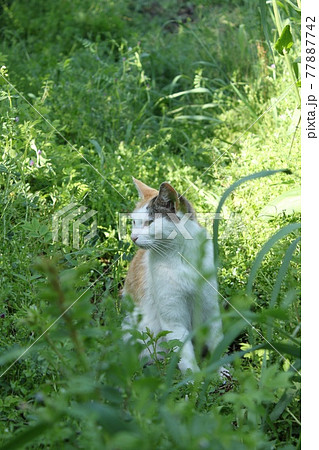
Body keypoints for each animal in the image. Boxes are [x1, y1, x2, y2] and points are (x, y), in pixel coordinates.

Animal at [121, 178, 229, 374]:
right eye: (134, 222)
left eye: (149, 222)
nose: (133, 237)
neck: (180, 256)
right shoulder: (173, 319)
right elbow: (184, 356)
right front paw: (194, 380)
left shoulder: (210, 308)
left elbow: (217, 343)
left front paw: (222, 372)